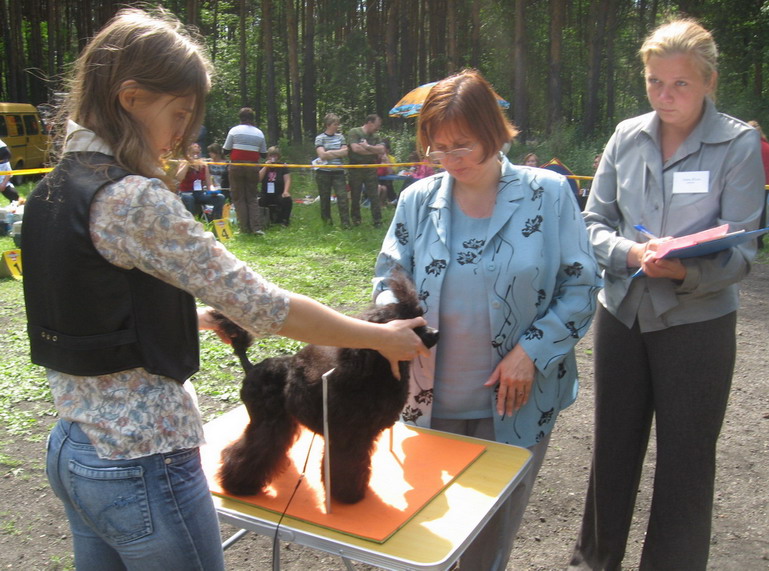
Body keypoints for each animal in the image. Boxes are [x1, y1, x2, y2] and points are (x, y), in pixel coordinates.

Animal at [213, 272, 439, 504]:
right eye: (411, 326)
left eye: (420, 317)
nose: (435, 333)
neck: (372, 373)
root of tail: (250, 367)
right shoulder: (347, 437)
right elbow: (346, 465)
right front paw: (348, 496)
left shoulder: (361, 436)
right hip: (266, 420)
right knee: (252, 448)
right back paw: (238, 485)